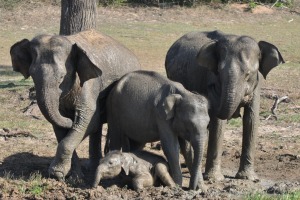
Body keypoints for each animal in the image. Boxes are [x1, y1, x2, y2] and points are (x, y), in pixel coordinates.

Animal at [9, 29, 141, 181]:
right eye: (32, 75)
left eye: (61, 77)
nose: (70, 118)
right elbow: (60, 130)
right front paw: (73, 177)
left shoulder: (90, 84)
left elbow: (89, 122)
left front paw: (57, 173)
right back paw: (93, 166)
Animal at [165, 29, 284, 181]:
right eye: (219, 73)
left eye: (248, 74)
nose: (210, 88)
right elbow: (218, 123)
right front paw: (214, 179)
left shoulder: (257, 85)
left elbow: (251, 120)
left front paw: (248, 178)